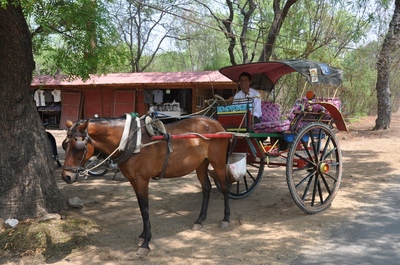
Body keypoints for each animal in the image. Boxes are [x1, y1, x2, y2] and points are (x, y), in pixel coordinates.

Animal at [61, 114, 233, 254]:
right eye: (64, 144)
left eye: (78, 146)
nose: (66, 176)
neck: (130, 141)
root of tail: (216, 124)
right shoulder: (133, 180)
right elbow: (140, 208)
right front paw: (143, 235)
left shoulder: (142, 180)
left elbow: (145, 210)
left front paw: (146, 242)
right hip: (201, 164)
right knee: (206, 188)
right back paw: (200, 220)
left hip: (217, 163)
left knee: (224, 187)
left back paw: (226, 218)